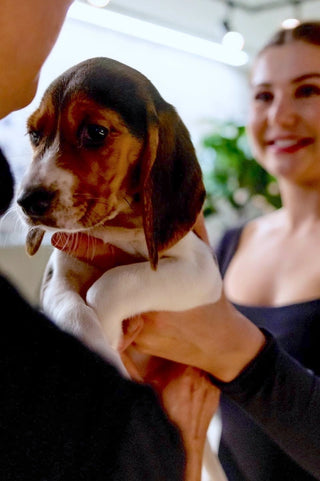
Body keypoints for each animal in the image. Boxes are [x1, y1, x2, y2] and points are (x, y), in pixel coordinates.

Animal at [18, 57, 222, 372]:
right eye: (35, 135)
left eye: (96, 132)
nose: (26, 202)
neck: (117, 227)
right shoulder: (57, 277)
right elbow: (71, 312)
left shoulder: (202, 268)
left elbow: (108, 285)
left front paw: (110, 332)